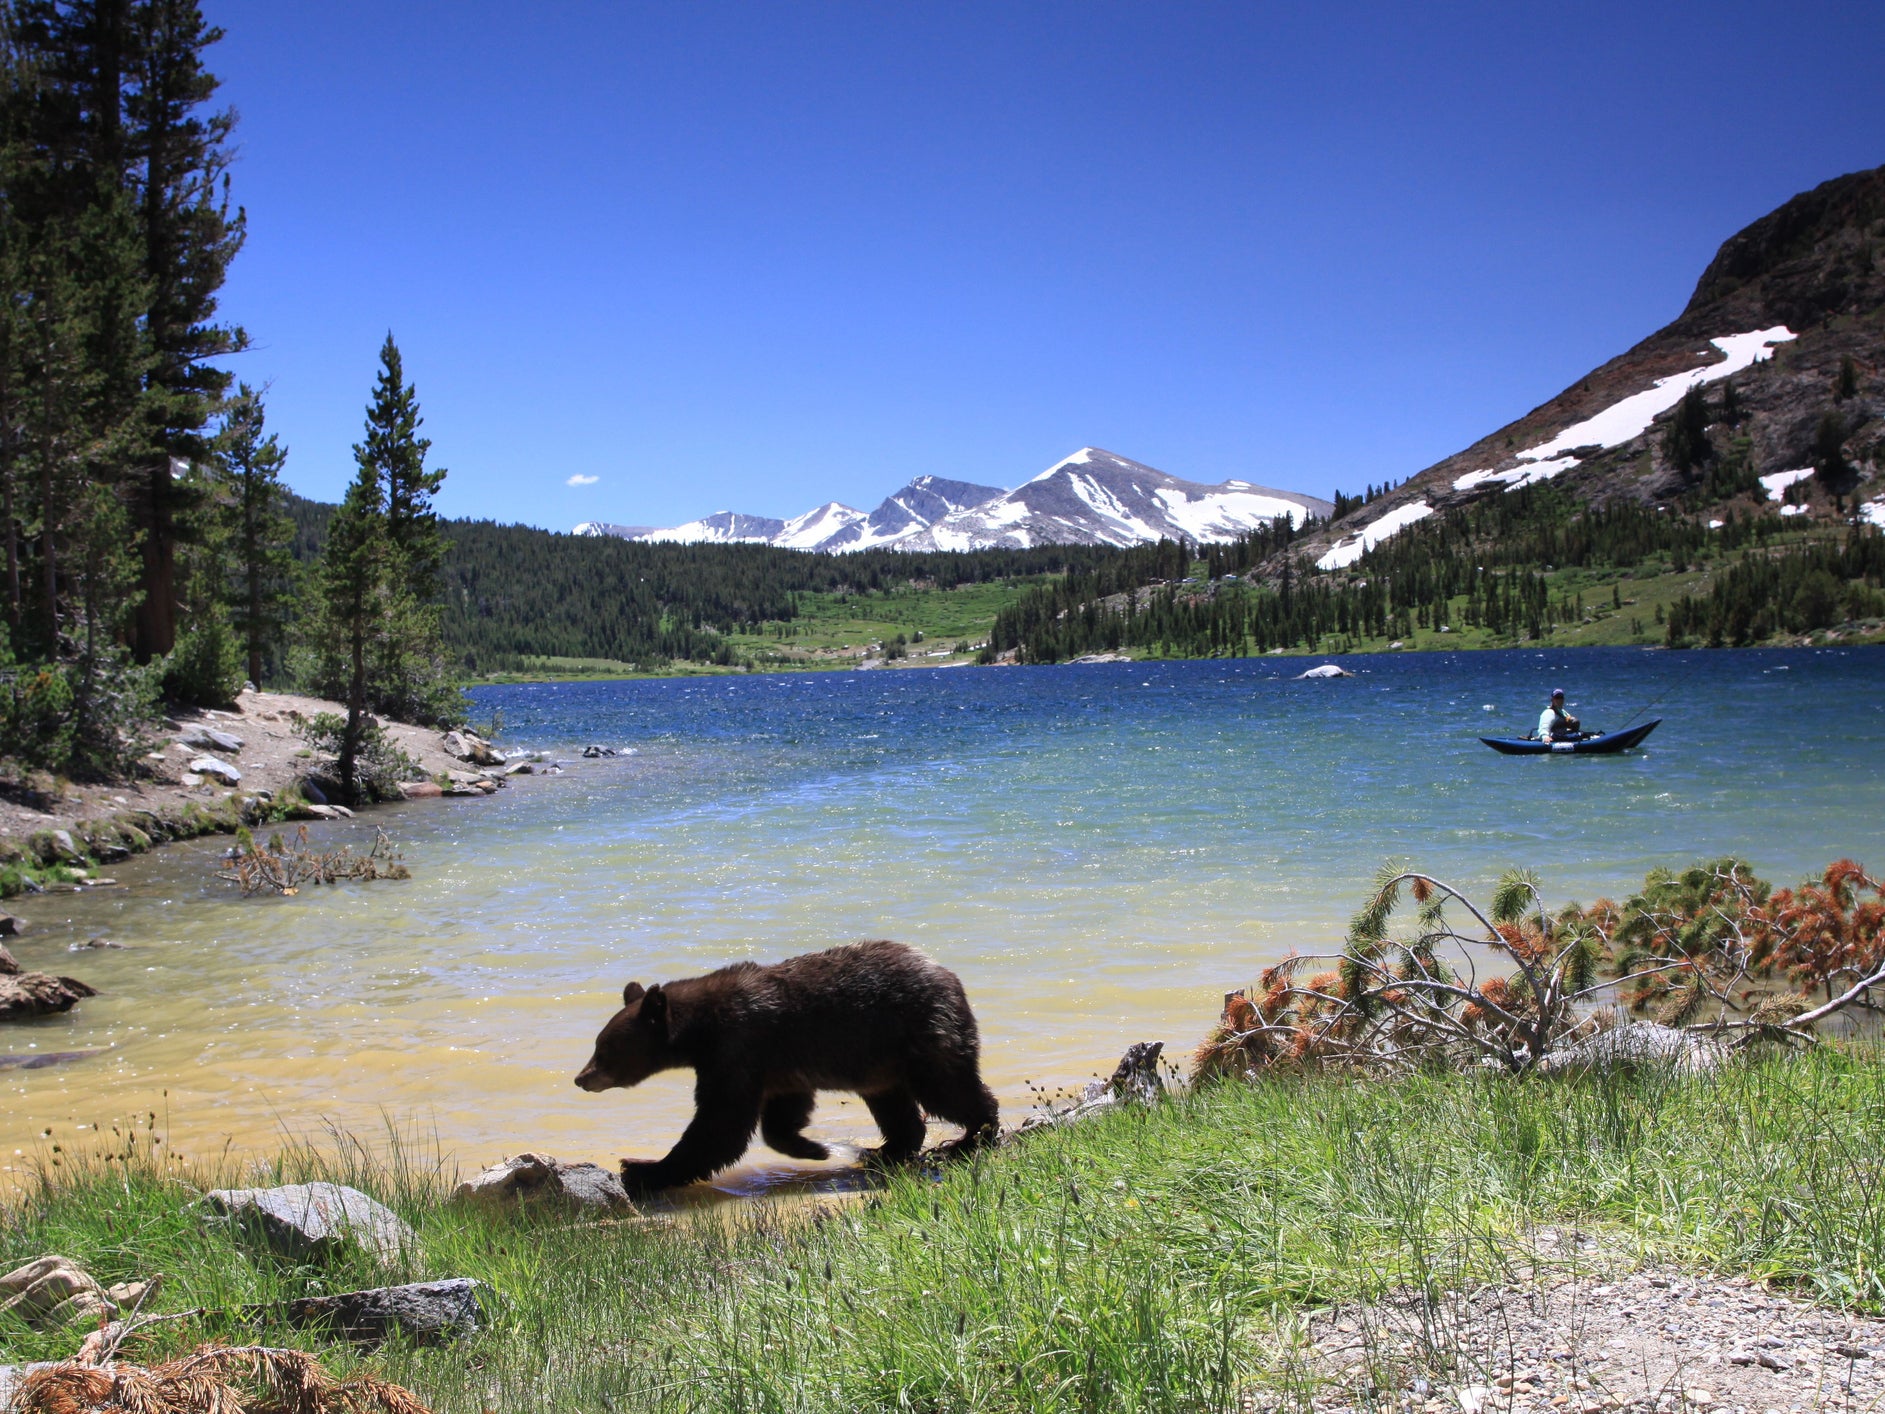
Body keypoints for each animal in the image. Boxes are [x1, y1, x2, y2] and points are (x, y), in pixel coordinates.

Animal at [573, 942, 1010, 1199]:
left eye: (604, 1048)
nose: (581, 1077)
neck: (700, 1030)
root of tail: (950, 976)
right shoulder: (774, 1064)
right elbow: (779, 1114)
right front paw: (814, 1147)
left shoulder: (738, 1048)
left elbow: (720, 1123)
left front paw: (643, 1168)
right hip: (879, 1060)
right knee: (895, 1104)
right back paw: (882, 1152)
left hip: (919, 1032)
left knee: (946, 1088)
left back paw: (970, 1138)